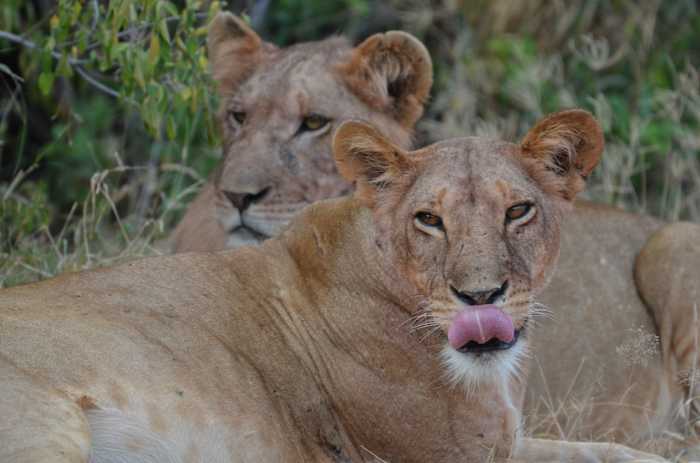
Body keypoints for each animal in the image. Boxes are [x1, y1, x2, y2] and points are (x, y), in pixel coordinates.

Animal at [0, 112, 664, 462]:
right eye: (429, 219)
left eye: (518, 211)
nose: (481, 300)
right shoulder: (451, 453)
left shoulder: (510, 440)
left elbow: (616, 453)